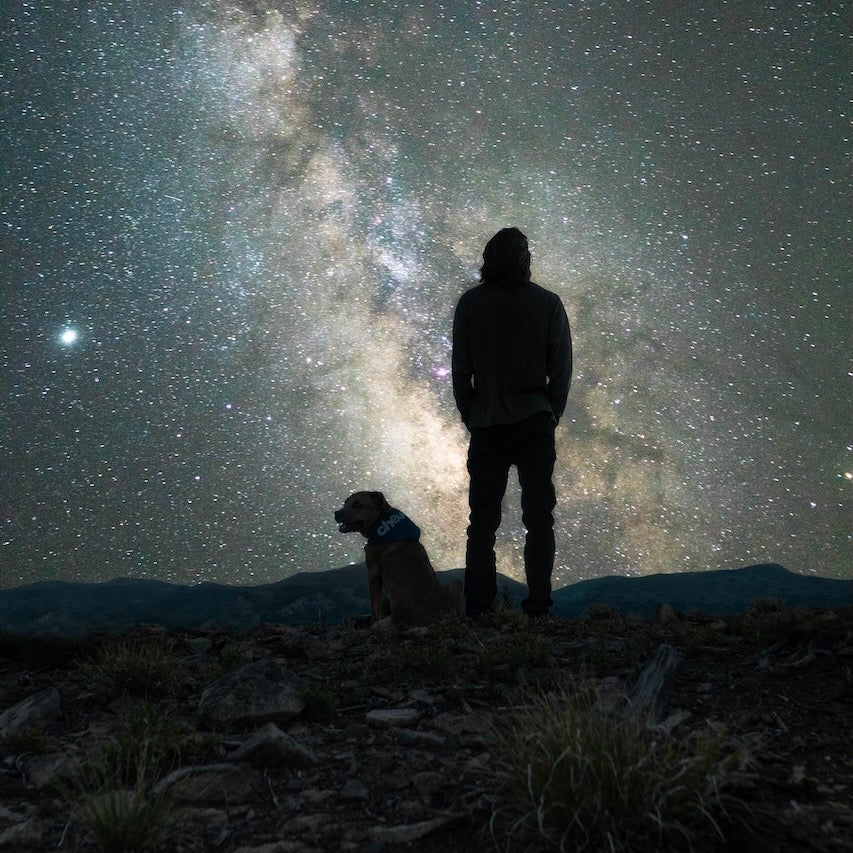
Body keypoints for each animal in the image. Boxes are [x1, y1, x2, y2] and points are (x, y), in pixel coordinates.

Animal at [334, 492, 462, 624]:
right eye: (345, 503)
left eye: (357, 504)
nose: (336, 514)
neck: (380, 522)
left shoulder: (373, 574)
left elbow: (375, 608)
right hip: (456, 583)